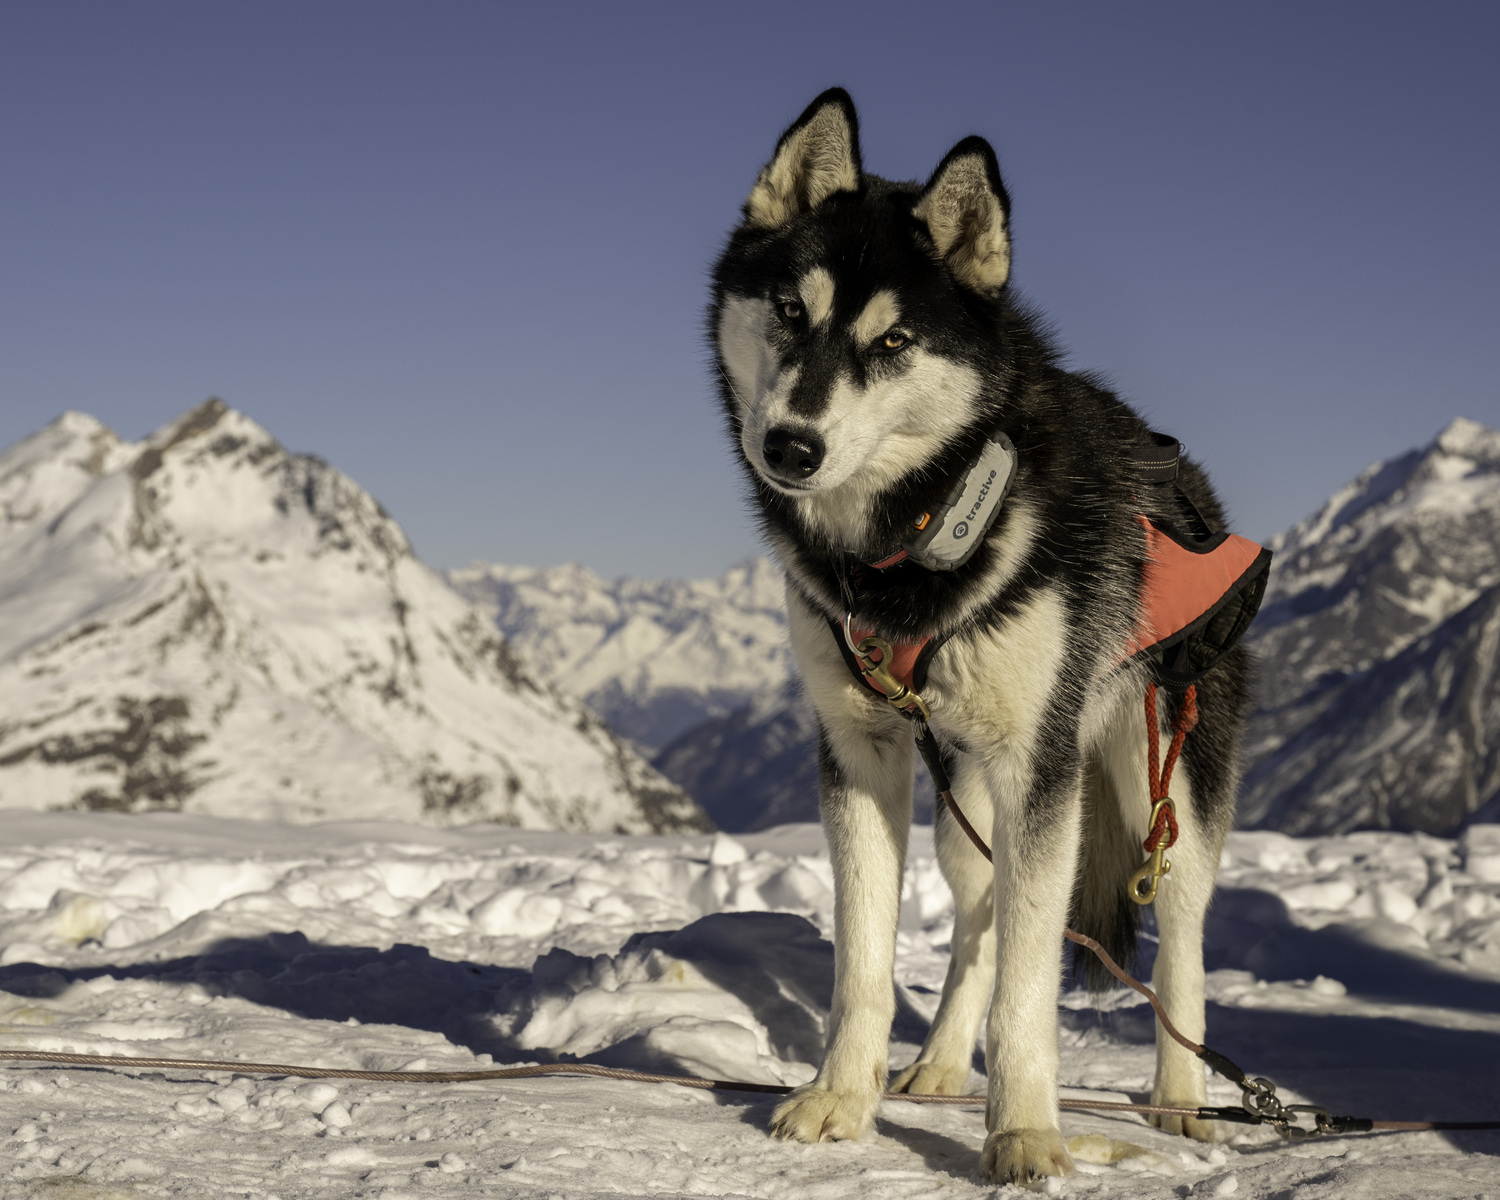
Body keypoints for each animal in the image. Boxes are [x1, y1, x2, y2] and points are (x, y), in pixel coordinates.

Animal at [708, 89, 1248, 1188]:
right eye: (791, 311)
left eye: (893, 344)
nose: (792, 445)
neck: (924, 528)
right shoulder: (860, 750)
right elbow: (866, 958)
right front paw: (841, 1097)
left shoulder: (1040, 763)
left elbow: (1030, 994)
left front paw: (1028, 1132)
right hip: (963, 797)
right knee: (979, 919)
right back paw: (944, 1064)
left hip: (1159, 775)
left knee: (1178, 935)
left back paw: (1179, 1097)